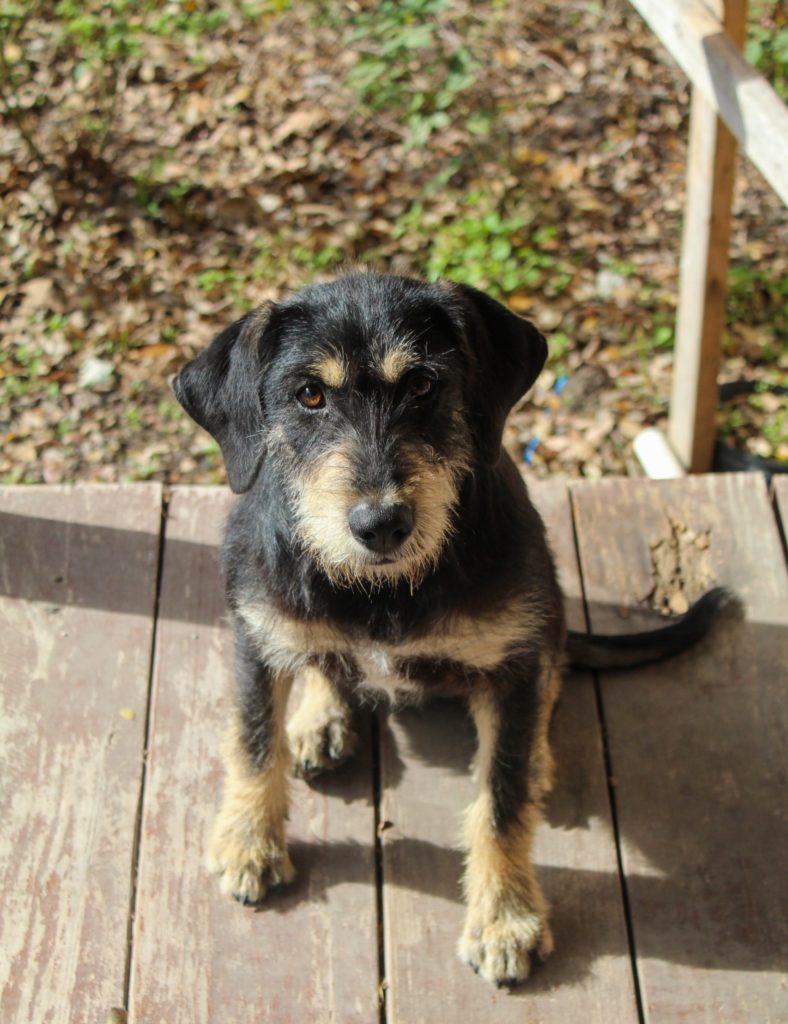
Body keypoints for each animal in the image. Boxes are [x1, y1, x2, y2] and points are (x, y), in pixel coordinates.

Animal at [171, 270, 724, 983]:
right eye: (309, 394)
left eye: (423, 385)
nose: (381, 525)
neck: (382, 591)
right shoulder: (254, 636)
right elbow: (253, 740)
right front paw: (249, 845)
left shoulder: (513, 664)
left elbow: (501, 803)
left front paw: (505, 918)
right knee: (323, 665)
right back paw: (321, 718)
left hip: (546, 606)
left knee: (551, 678)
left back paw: (537, 755)